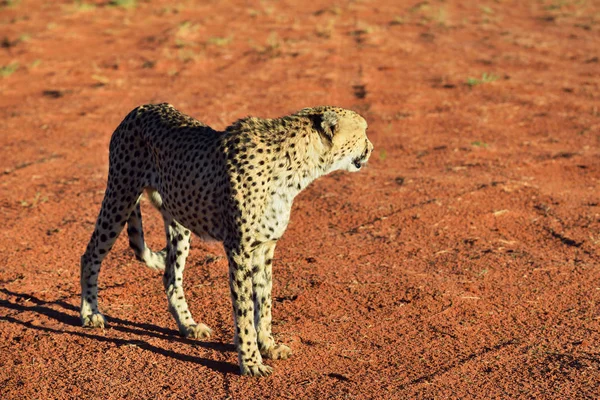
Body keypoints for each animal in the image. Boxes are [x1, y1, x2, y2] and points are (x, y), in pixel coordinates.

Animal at [79, 102, 370, 376]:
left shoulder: (265, 248)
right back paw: (90, 313)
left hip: (179, 219)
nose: (371, 148)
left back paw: (188, 325)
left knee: (171, 276)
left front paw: (268, 345)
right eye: (364, 131)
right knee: (90, 254)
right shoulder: (238, 249)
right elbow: (244, 310)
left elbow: (264, 302)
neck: (296, 165)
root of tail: (140, 108)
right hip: (120, 196)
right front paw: (251, 361)